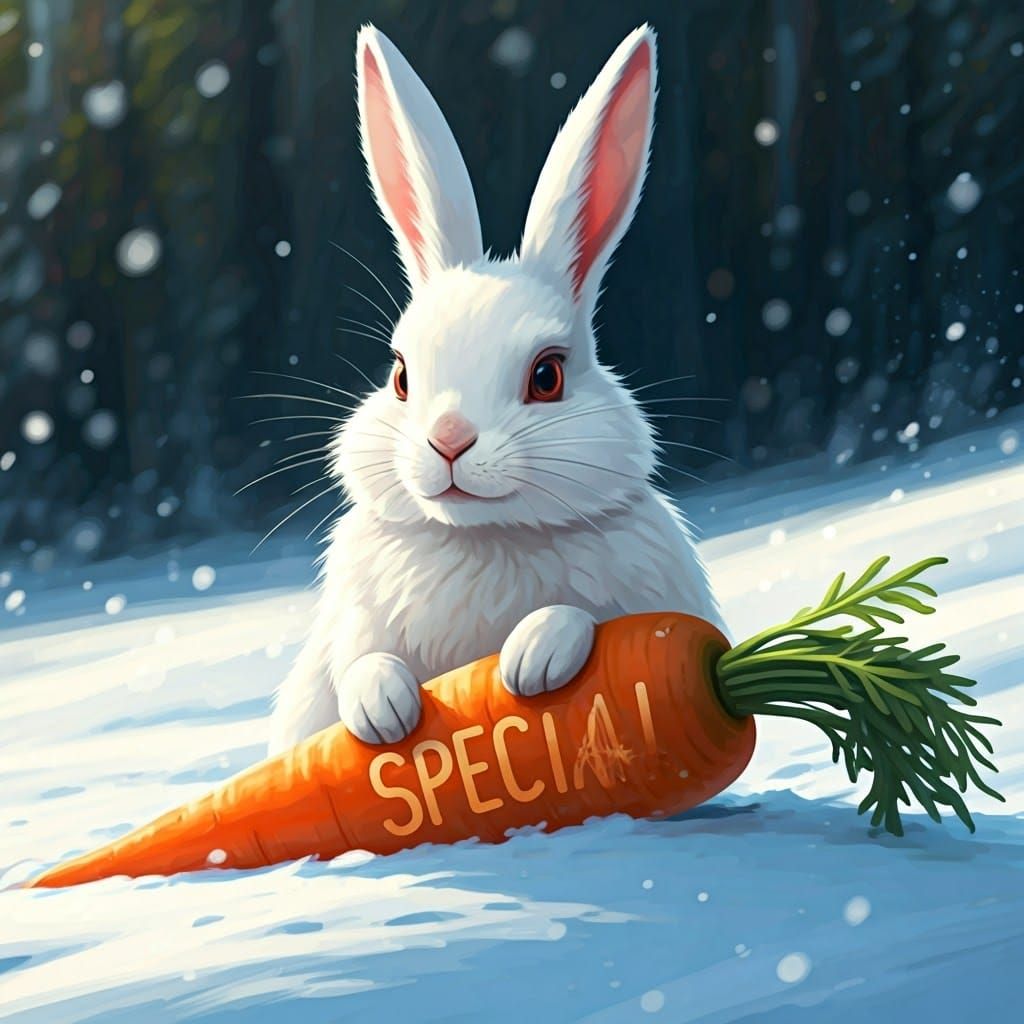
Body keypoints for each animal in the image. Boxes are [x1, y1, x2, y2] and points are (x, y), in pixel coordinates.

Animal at [267, 22, 722, 755]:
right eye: (400, 375)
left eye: (548, 375)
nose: (449, 440)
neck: (481, 539)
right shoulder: (351, 628)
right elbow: (360, 664)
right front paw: (383, 709)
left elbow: (578, 617)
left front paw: (533, 658)